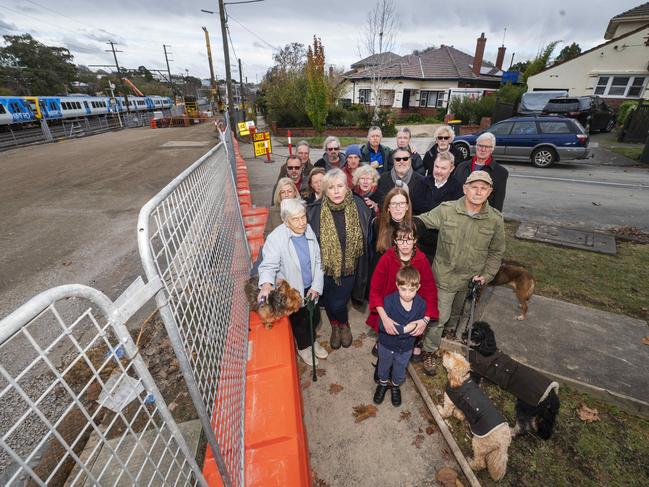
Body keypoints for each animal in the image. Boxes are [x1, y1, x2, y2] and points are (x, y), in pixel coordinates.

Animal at [436, 352, 512, 482]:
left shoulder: (450, 401)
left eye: (451, 357)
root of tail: (504, 441)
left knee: (481, 463)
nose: (445, 352)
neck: (461, 380)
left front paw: (440, 411)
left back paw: (470, 463)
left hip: (479, 444)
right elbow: (459, 412)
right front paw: (459, 415)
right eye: (453, 354)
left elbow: (446, 412)